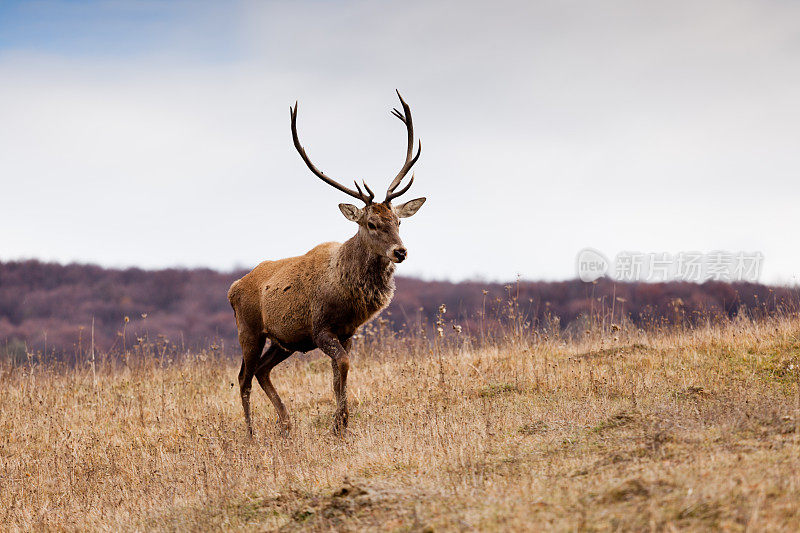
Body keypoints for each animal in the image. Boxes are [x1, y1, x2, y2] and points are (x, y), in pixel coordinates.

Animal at [227, 90, 424, 432]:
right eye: (371, 223)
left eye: (399, 221)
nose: (400, 252)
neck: (347, 295)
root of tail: (232, 288)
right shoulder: (320, 327)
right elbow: (342, 365)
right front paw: (340, 423)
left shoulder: (348, 331)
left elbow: (337, 376)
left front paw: (341, 424)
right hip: (248, 329)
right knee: (243, 377)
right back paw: (251, 433)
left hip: (283, 340)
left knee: (262, 370)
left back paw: (286, 424)